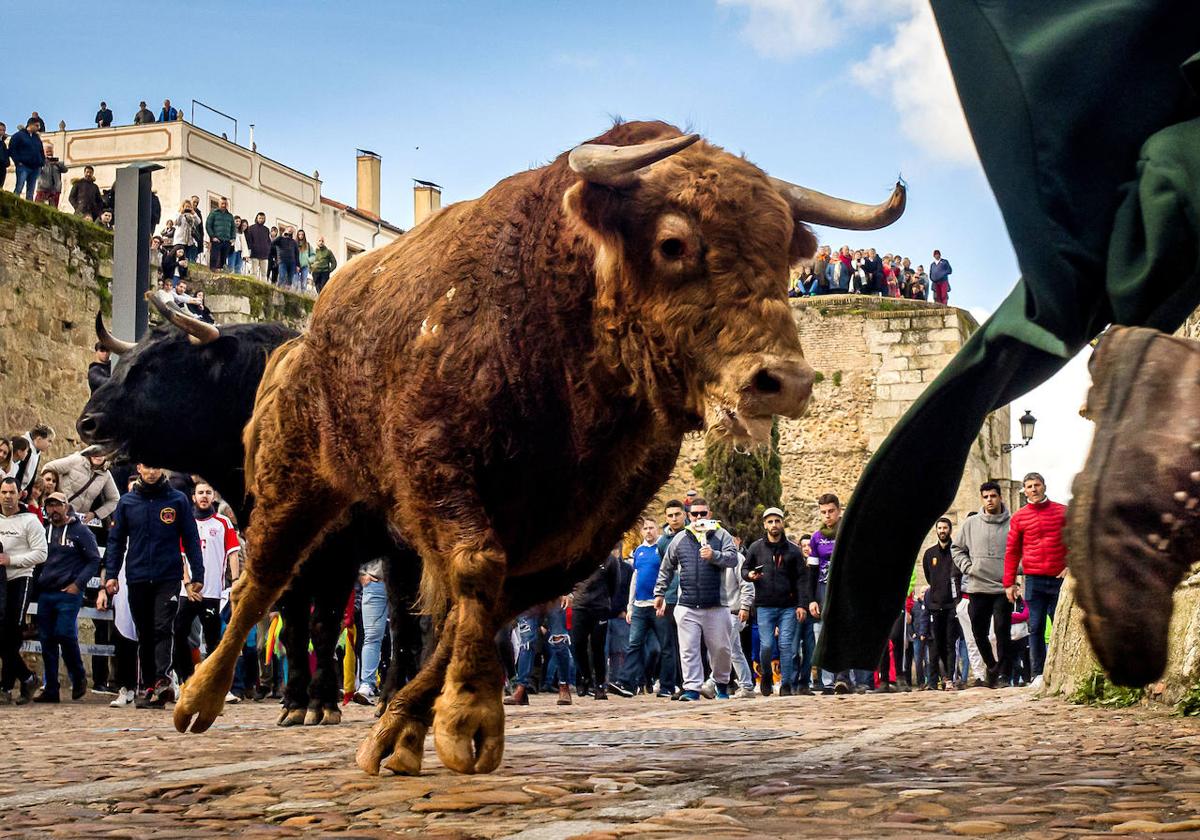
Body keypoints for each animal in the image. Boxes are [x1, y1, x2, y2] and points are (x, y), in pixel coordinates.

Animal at [79, 314, 427, 720]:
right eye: (124, 362)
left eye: (154, 366)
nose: (87, 422)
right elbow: (294, 623)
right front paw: (295, 702)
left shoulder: (339, 551)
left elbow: (323, 625)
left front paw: (321, 703)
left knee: (405, 620)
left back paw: (394, 697)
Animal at [174, 118, 902, 772]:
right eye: (673, 243)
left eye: (783, 251)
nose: (785, 380)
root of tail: (303, 339)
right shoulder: (439, 472)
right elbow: (476, 570)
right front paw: (467, 722)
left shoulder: (575, 536)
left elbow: (480, 608)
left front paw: (407, 729)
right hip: (296, 483)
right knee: (264, 580)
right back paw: (197, 701)